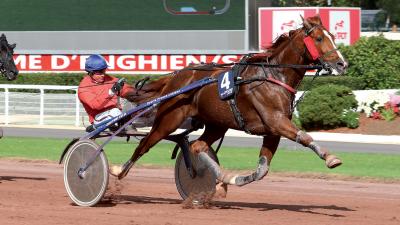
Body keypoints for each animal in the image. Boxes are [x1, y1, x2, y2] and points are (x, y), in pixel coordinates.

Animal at [111, 15, 346, 194]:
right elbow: (304, 136)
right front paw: (330, 158)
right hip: (169, 119)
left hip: (217, 123)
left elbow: (262, 170)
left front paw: (235, 179)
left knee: (197, 146)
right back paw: (118, 170)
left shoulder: (273, 130)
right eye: (318, 38)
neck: (272, 76)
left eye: (333, 37)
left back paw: (222, 178)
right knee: (145, 143)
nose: (342, 64)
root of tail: (177, 76)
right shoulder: (275, 121)